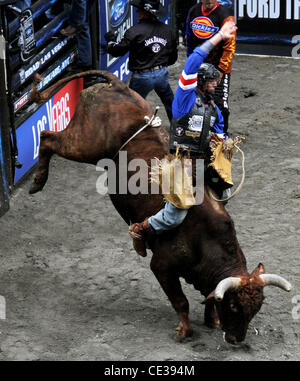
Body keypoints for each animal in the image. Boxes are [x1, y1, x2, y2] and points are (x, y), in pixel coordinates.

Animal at [29, 70, 292, 342]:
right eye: (233, 305)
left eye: (256, 307)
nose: (236, 339)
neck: (205, 239)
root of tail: (117, 86)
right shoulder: (162, 266)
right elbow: (181, 301)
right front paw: (184, 330)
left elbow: (208, 297)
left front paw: (212, 320)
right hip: (86, 145)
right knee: (47, 138)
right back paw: (37, 181)